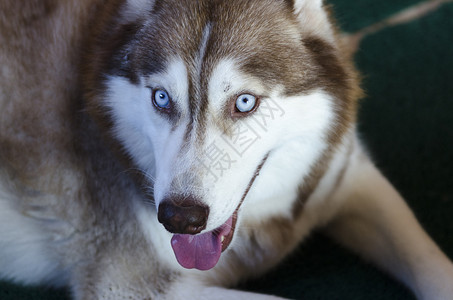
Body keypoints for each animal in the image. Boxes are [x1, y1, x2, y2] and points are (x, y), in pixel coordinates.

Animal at [0, 0, 452, 298]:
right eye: (161, 98)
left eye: (245, 102)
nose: (179, 218)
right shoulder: (127, 284)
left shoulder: (347, 175)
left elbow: (430, 262)